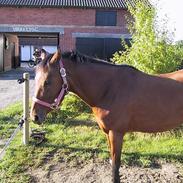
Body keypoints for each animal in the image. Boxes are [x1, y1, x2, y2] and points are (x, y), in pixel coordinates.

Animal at [30, 49, 183, 183]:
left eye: (47, 81)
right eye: (36, 79)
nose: (34, 116)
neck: (109, 89)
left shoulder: (116, 133)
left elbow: (115, 165)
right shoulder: (107, 132)